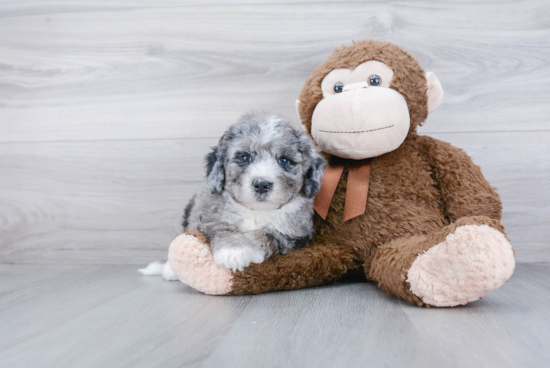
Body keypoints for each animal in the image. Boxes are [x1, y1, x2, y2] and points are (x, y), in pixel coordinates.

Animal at [140, 110, 328, 278]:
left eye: (284, 160)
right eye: (245, 158)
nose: (262, 184)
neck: (256, 211)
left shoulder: (298, 233)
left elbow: (269, 233)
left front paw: (249, 246)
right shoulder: (206, 215)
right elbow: (221, 227)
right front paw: (233, 251)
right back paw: (169, 270)